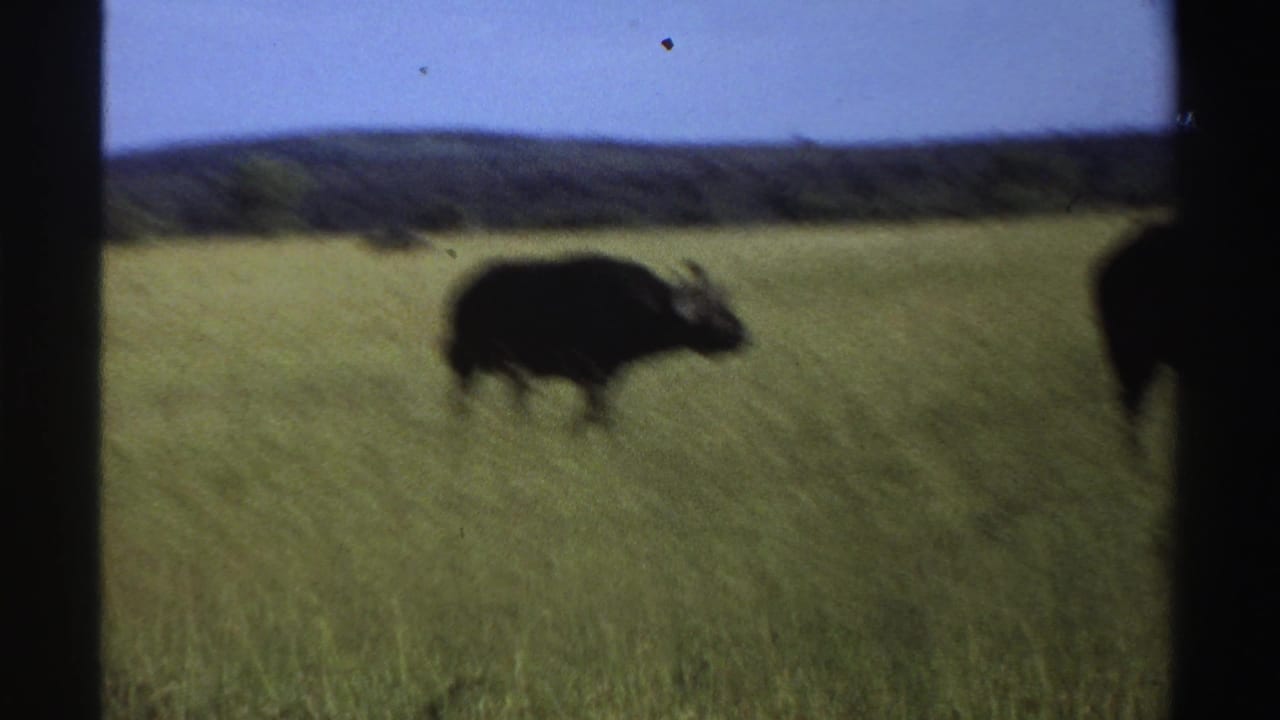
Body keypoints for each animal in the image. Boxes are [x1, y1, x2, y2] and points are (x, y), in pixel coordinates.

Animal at [442, 253, 750, 425]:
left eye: (723, 307)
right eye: (711, 314)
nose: (742, 334)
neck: (636, 308)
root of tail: (465, 295)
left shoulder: (606, 377)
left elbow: (597, 414)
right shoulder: (594, 376)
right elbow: (596, 414)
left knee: (515, 390)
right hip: (467, 359)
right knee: (467, 395)